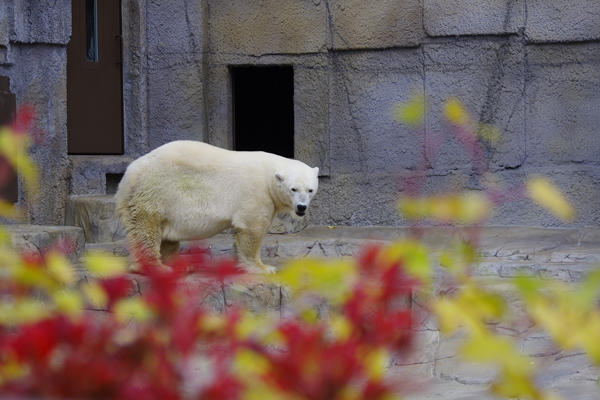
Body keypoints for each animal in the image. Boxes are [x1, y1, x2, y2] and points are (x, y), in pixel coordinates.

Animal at [113, 141, 318, 276]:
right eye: (293, 189)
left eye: (310, 189)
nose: (301, 207)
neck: (268, 173)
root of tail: (127, 176)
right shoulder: (256, 192)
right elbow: (252, 229)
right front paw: (264, 268)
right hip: (155, 191)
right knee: (147, 229)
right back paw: (157, 268)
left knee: (166, 235)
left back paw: (182, 265)